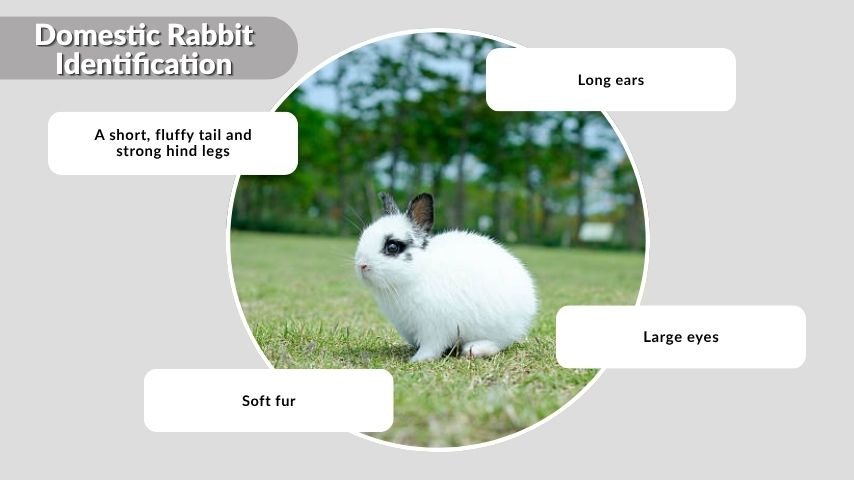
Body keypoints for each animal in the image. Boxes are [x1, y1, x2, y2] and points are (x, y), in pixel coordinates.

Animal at [354, 191, 537, 362]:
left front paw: (416, 360)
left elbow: (431, 347)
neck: (417, 273)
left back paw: (473, 350)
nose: (361, 265)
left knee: (499, 344)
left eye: (392, 247)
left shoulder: (434, 329)